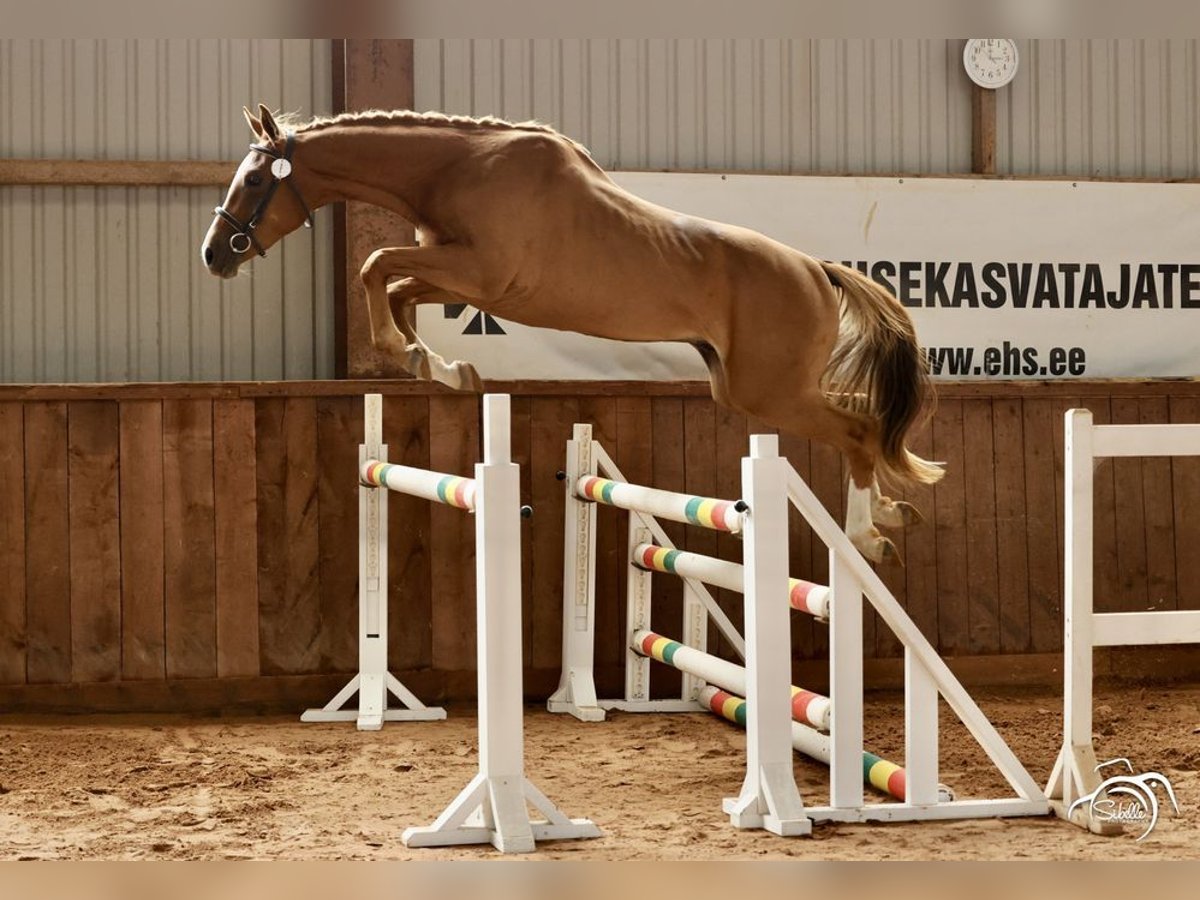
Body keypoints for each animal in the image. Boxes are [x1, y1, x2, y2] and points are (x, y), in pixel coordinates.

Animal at [201, 105, 940, 564]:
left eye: (256, 179)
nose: (215, 254)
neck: (458, 169)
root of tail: (815, 269)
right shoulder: (462, 278)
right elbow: (397, 287)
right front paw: (440, 366)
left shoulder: (481, 275)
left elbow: (376, 264)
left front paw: (414, 355)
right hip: (748, 389)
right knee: (865, 423)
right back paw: (892, 516)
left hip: (771, 392)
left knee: (859, 430)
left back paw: (869, 536)